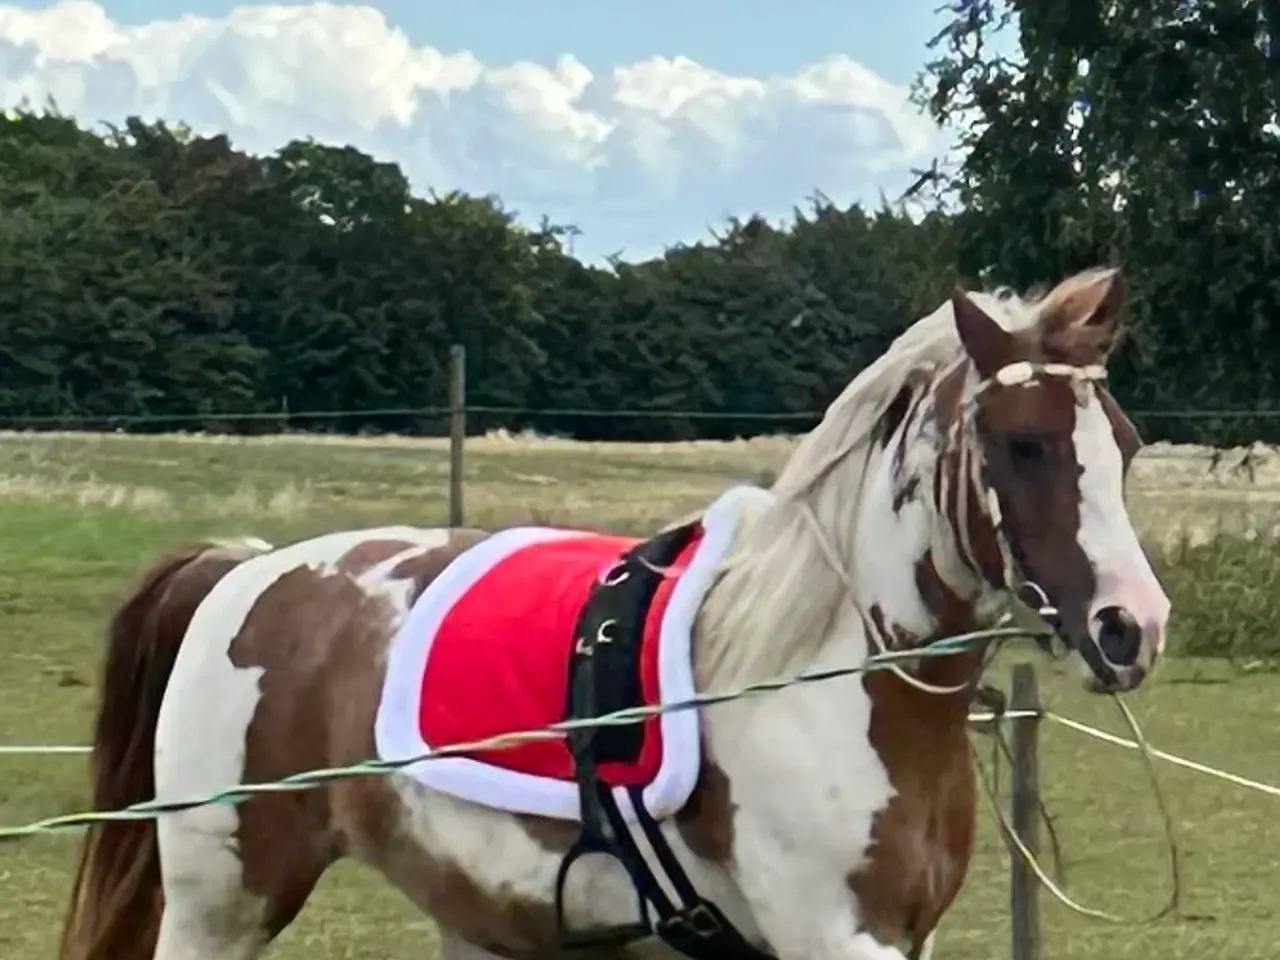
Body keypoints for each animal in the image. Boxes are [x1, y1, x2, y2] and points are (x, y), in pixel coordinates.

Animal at [56, 266, 1170, 960]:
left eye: (1120, 440)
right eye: (1023, 444)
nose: (1131, 626)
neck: (825, 676)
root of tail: (245, 571)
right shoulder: (831, 937)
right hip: (220, 905)